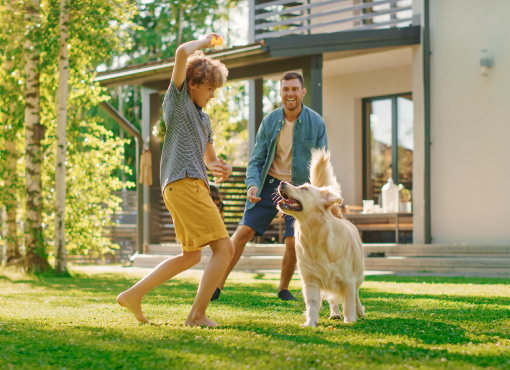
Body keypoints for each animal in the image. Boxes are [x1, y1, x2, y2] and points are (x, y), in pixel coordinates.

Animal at [276, 147, 364, 326]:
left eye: (303, 188)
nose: (281, 182)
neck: (314, 233)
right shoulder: (310, 280)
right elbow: (312, 304)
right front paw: (310, 323)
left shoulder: (348, 280)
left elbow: (349, 303)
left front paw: (350, 321)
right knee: (333, 299)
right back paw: (335, 313)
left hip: (358, 275)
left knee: (356, 294)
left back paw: (360, 312)